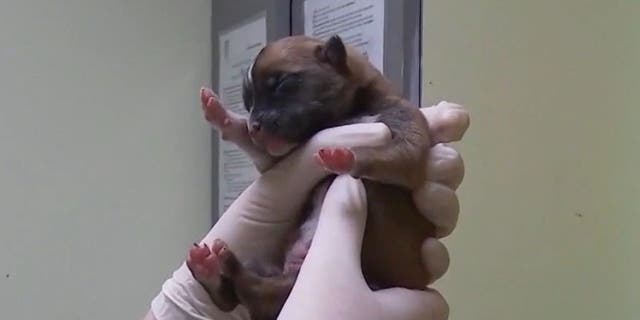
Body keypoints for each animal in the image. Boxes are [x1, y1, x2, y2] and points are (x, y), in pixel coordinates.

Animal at [185, 35, 436, 320]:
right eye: (248, 103)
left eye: (282, 84)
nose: (254, 126)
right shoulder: (277, 157)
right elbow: (263, 154)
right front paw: (225, 117)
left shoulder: (404, 122)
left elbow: (405, 158)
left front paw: (346, 155)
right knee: (237, 297)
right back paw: (212, 271)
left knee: (254, 293)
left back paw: (226, 269)